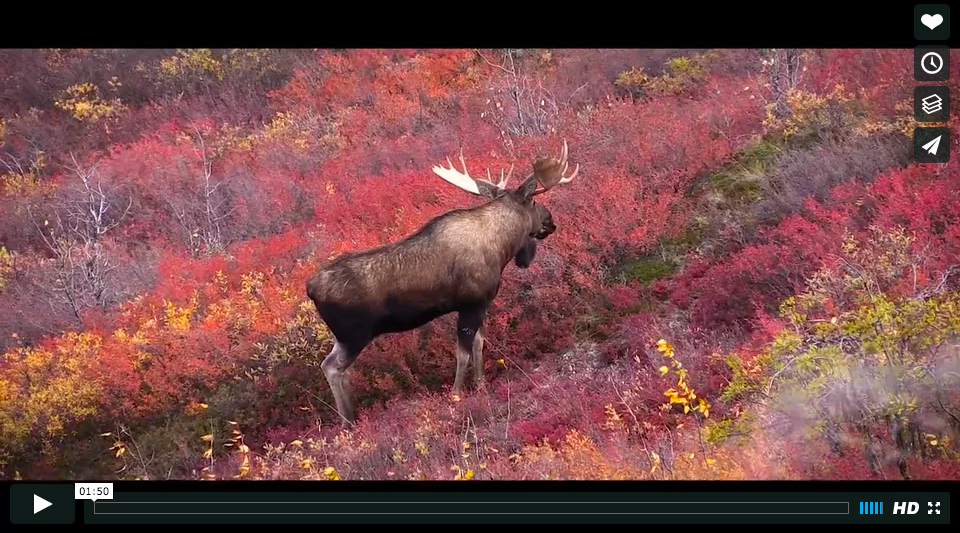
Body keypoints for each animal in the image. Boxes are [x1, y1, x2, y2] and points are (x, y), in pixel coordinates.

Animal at [305, 140, 580, 426]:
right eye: (535, 201)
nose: (551, 222)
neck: (503, 248)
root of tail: (310, 288)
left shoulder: (478, 305)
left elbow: (478, 345)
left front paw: (480, 385)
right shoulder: (472, 304)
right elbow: (463, 352)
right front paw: (457, 394)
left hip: (342, 337)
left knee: (339, 368)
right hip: (354, 335)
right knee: (331, 367)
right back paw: (348, 422)